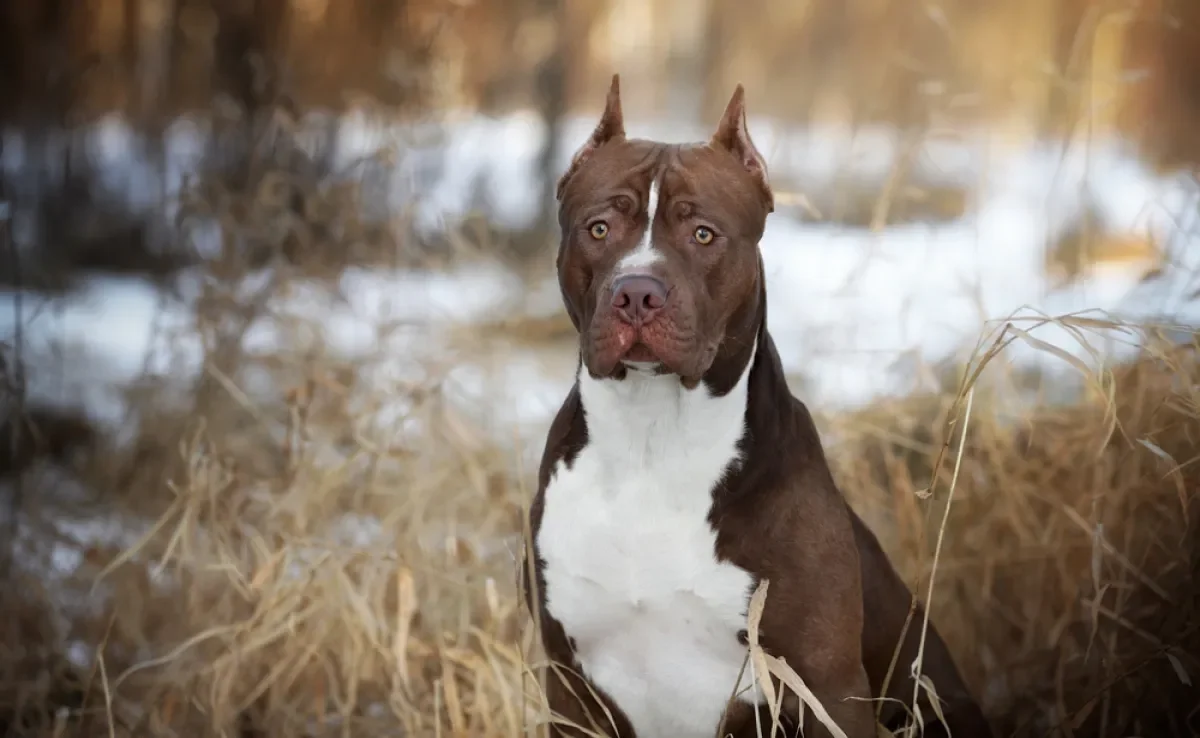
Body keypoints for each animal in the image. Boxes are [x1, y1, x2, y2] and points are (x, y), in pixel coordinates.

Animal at [520, 75, 988, 738]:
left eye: (703, 234)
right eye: (600, 228)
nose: (636, 293)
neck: (652, 437)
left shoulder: (825, 687)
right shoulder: (568, 684)